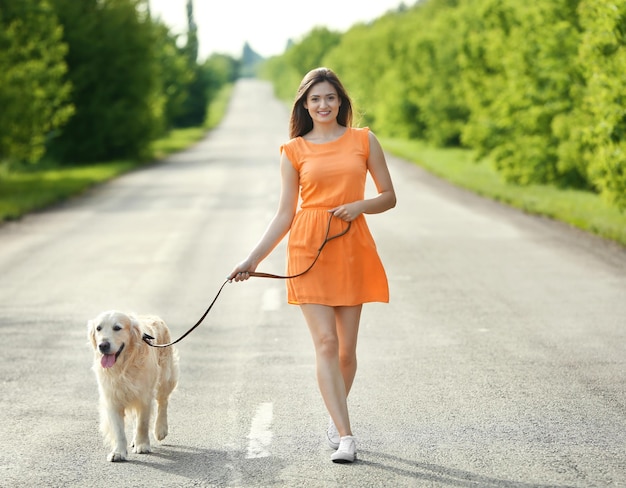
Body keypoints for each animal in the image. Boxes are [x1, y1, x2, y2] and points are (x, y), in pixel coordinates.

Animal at [86, 310, 178, 464]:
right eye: (98, 328)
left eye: (117, 328)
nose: (103, 345)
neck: (124, 365)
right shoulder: (113, 398)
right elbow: (119, 430)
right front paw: (118, 452)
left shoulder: (144, 396)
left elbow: (143, 423)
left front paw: (142, 445)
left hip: (166, 376)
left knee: (163, 402)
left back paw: (160, 429)